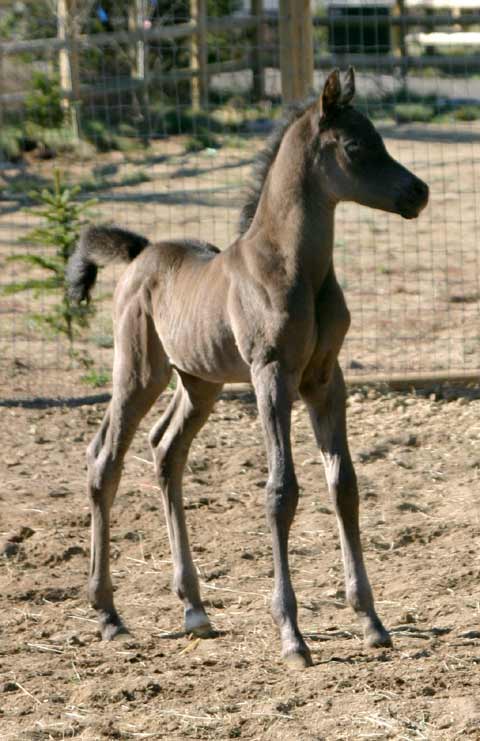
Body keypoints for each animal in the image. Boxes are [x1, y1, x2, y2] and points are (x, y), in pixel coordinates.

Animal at [66, 68, 428, 672]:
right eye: (357, 147)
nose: (417, 192)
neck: (293, 267)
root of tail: (140, 252)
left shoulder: (326, 380)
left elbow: (344, 485)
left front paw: (371, 622)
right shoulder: (271, 376)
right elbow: (281, 491)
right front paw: (292, 637)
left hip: (201, 383)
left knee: (166, 452)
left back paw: (194, 609)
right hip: (140, 371)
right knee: (104, 460)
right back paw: (109, 616)